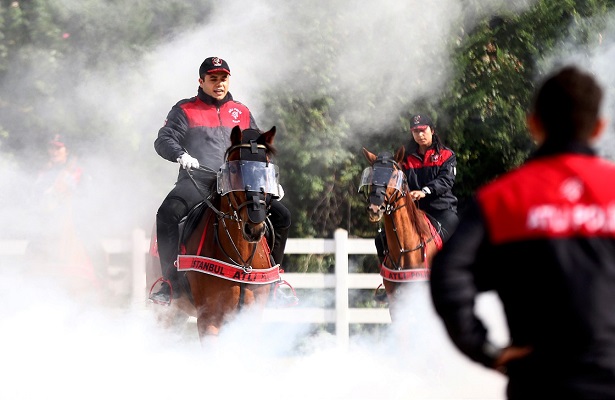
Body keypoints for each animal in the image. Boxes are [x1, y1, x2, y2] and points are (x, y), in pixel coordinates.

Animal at [149, 126, 294, 344]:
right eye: (234, 170)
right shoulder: (209, 320)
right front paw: (187, 160)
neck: (242, 264)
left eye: (268, 172)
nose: (254, 228)